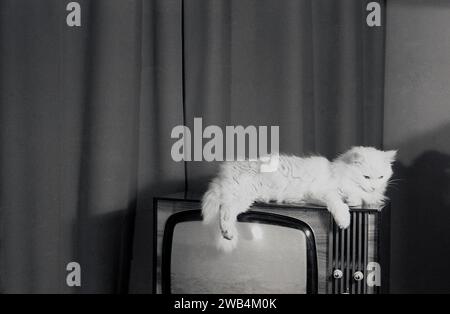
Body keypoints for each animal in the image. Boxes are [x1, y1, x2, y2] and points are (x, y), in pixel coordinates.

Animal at [202, 146, 396, 251]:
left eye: (381, 177)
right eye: (366, 177)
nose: (374, 187)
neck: (340, 172)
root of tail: (226, 169)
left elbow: (353, 200)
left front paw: (354, 199)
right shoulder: (322, 192)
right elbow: (339, 205)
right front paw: (344, 221)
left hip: (244, 198)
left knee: (228, 212)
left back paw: (230, 234)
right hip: (240, 194)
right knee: (224, 210)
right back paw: (229, 233)